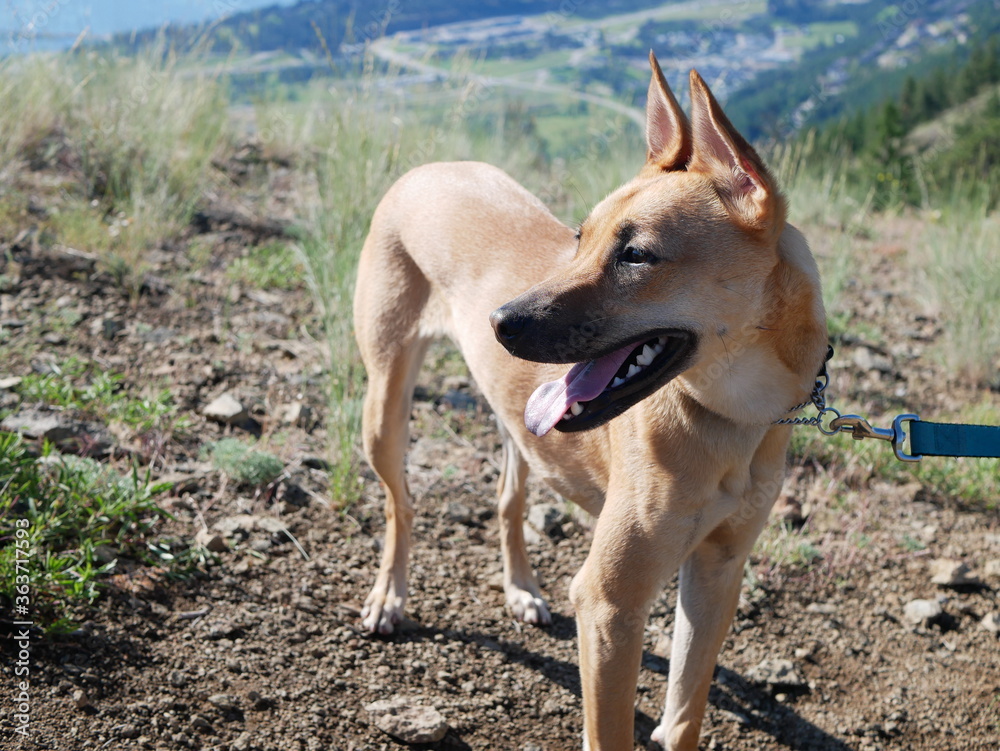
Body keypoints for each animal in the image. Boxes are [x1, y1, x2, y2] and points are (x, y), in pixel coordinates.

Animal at [356, 54, 824, 751]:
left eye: (636, 255)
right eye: (581, 236)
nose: (499, 322)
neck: (730, 418)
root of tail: (430, 167)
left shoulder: (718, 572)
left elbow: (685, 712)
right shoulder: (609, 604)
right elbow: (610, 730)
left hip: (520, 426)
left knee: (508, 495)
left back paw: (521, 589)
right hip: (385, 404)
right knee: (400, 506)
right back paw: (390, 596)